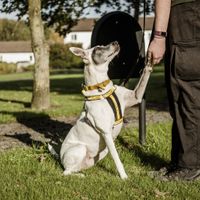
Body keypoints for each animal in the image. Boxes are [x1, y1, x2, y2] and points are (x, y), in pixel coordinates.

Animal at [48, 41, 152, 179]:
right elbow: (117, 159)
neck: (101, 89)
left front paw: (149, 61)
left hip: (100, 153)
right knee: (66, 172)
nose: (115, 42)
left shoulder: (136, 96)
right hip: (80, 149)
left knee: (74, 169)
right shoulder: (107, 133)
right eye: (98, 48)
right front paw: (124, 177)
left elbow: (143, 78)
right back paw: (80, 176)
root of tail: (60, 157)